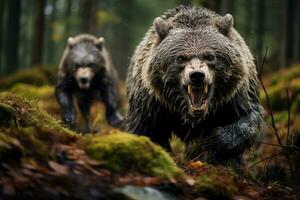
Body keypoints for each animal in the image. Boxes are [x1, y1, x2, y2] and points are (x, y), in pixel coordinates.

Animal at [126, 6, 262, 165]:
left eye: (210, 56)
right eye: (180, 58)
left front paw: (217, 141)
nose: (197, 75)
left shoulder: (235, 95)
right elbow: (145, 129)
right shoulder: (152, 101)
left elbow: (248, 117)